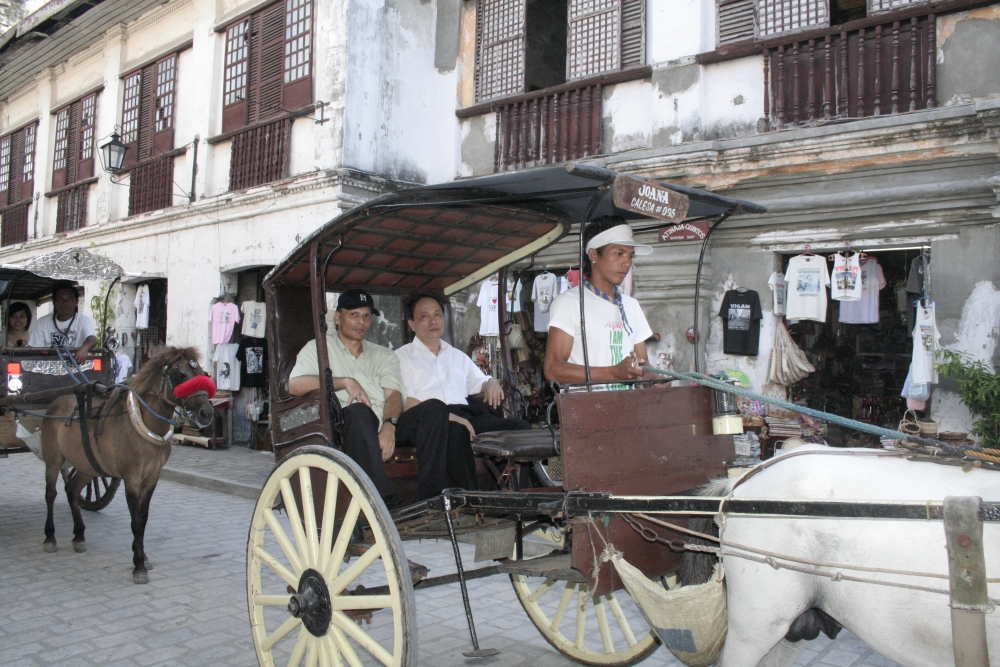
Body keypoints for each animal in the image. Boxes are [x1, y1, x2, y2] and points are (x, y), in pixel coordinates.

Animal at [40, 348, 215, 580]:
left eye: (203, 372)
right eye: (181, 375)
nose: (207, 412)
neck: (145, 424)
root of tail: (56, 402)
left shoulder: (152, 477)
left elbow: (143, 517)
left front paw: (142, 555)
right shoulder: (131, 478)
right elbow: (136, 521)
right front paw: (138, 564)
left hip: (88, 466)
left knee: (72, 490)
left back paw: (78, 535)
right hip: (53, 460)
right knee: (51, 494)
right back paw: (50, 537)